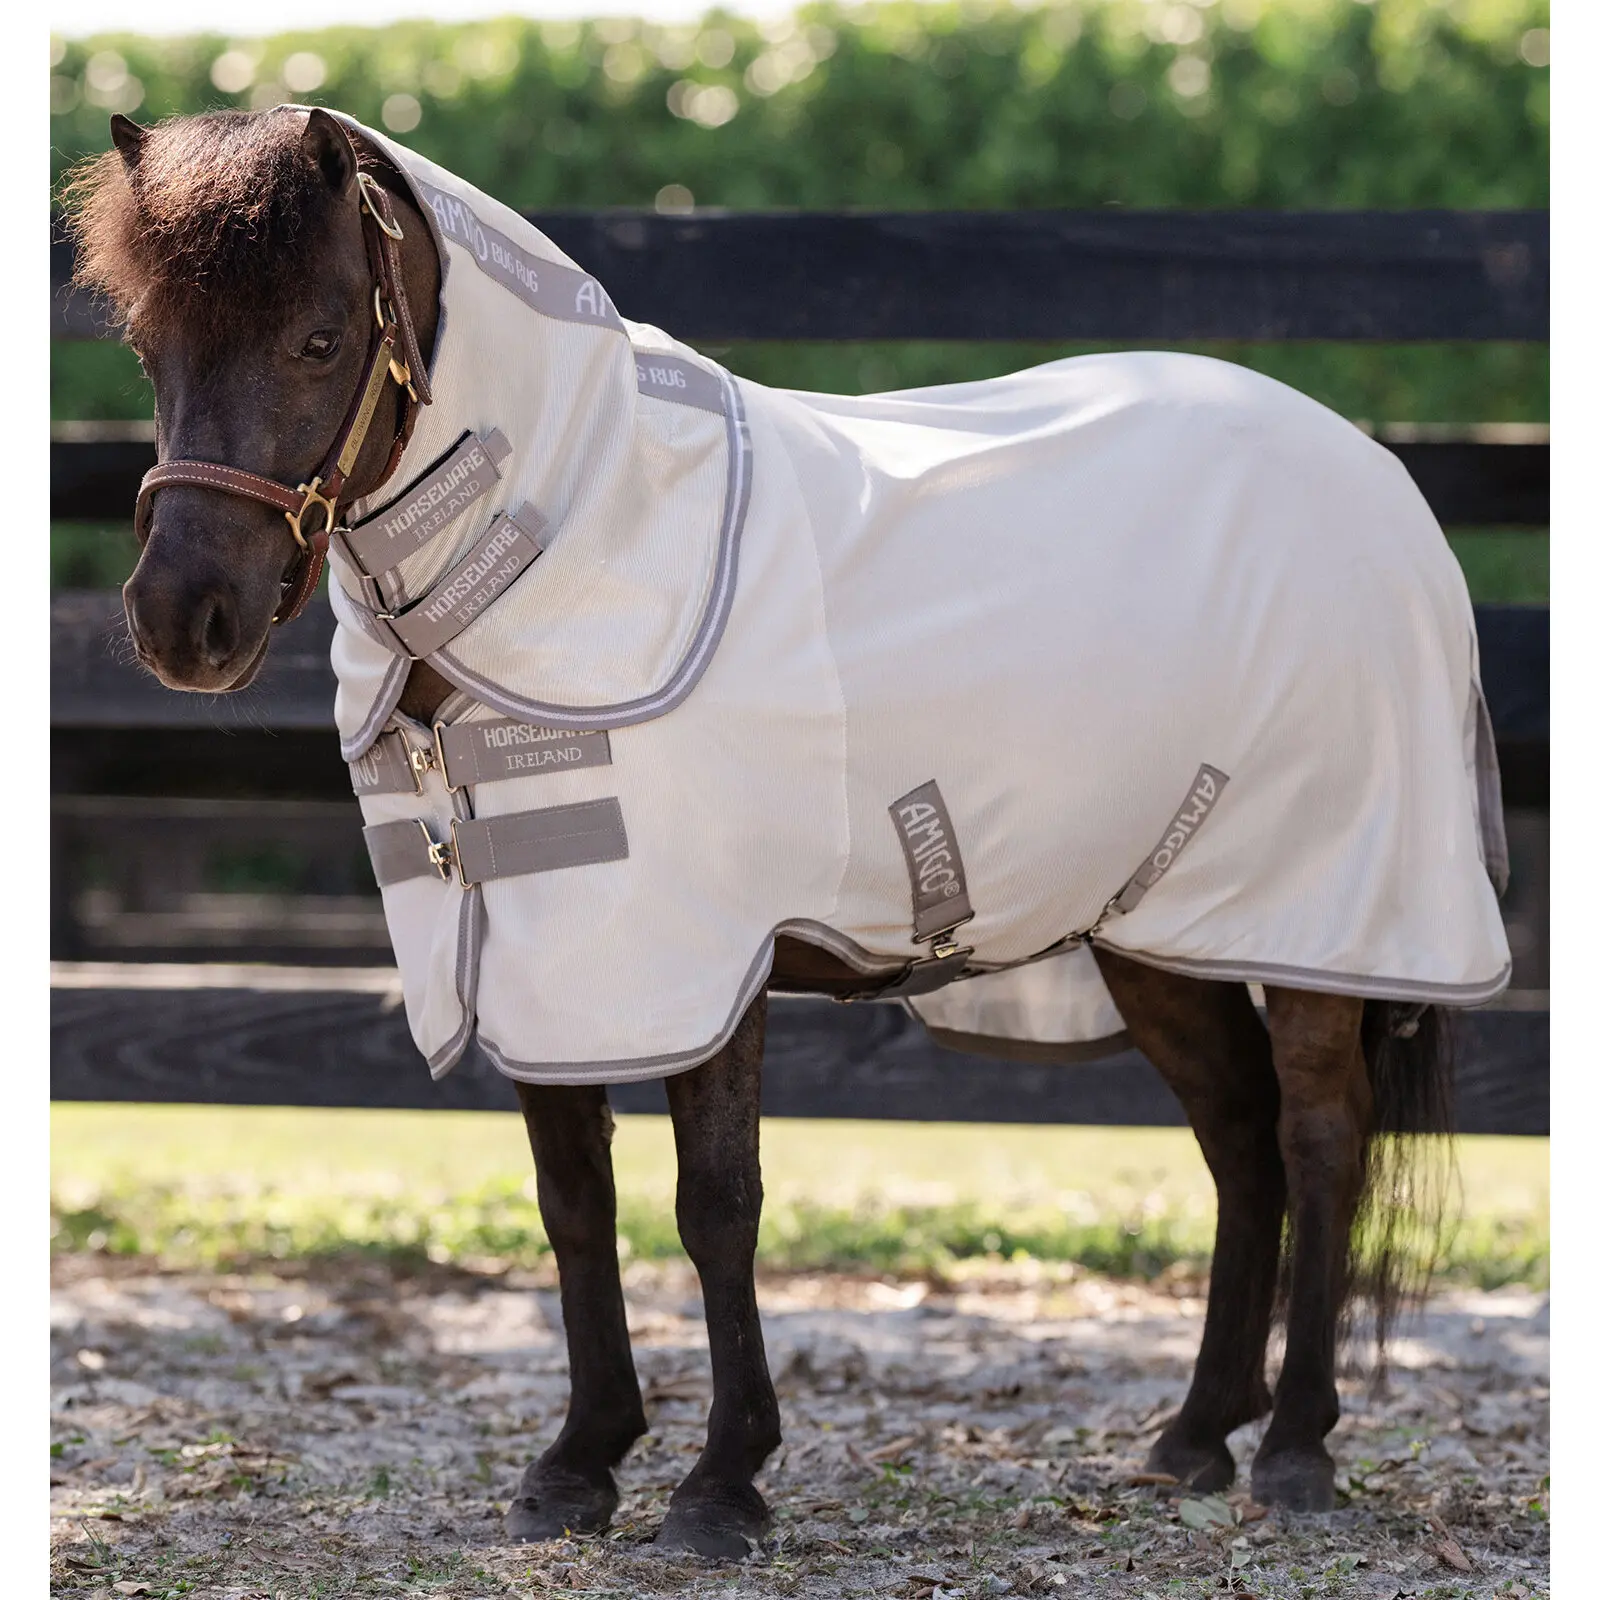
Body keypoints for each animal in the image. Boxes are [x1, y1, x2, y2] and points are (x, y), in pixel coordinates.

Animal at [62, 105, 1508, 1557]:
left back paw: (1298, 1449)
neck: (586, 541)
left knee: (1320, 1134)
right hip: (1156, 932)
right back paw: (1195, 1437)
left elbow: (715, 1206)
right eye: (149, 347)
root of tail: (1375, 473)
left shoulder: (704, 962)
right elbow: (574, 1203)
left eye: (317, 337)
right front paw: (577, 1464)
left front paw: (721, 1482)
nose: (184, 619)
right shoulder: (549, 955)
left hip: (1323, 915)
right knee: (1240, 1141)